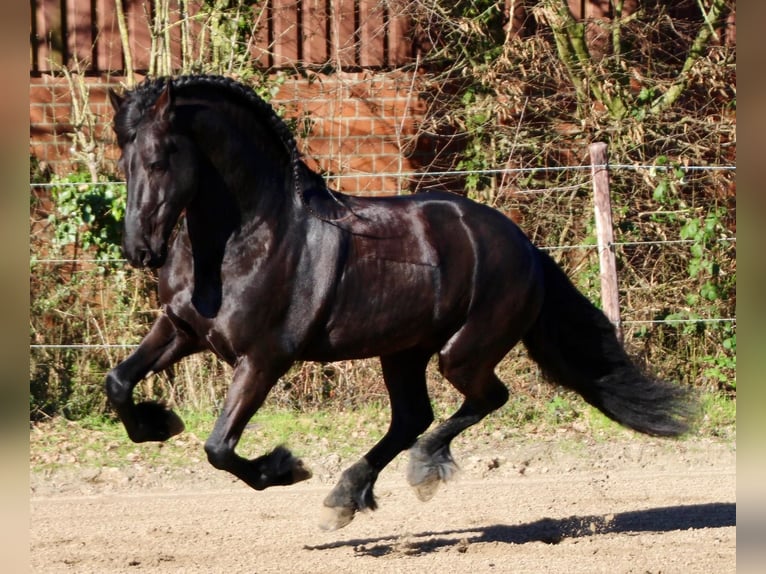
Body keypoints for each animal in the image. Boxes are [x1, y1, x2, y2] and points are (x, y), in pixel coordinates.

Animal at [106, 75, 694, 530]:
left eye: (159, 160)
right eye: (124, 162)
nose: (139, 250)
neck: (246, 239)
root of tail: (524, 245)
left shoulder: (265, 358)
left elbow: (219, 448)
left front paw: (286, 468)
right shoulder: (181, 329)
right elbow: (119, 383)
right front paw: (159, 424)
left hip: (463, 351)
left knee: (484, 399)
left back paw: (421, 469)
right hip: (403, 351)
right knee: (413, 415)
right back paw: (346, 497)